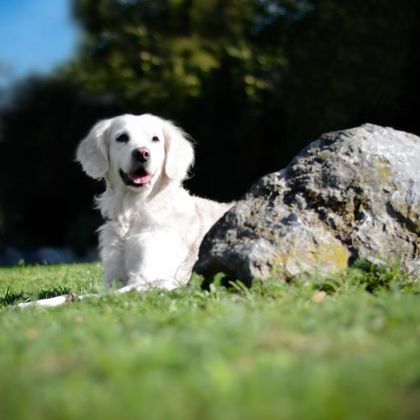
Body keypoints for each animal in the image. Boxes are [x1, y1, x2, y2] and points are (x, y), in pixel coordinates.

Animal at [75, 113, 233, 294]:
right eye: (122, 137)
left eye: (155, 139)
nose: (142, 153)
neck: (133, 212)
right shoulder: (112, 279)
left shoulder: (148, 280)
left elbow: (85, 297)